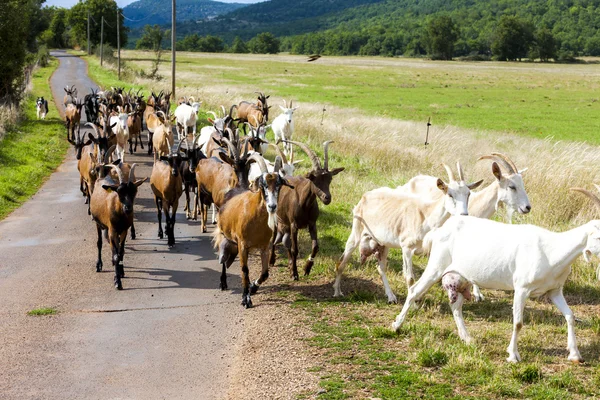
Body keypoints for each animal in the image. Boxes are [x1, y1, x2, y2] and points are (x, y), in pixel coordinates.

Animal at [213, 155, 292, 308]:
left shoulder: (264, 246)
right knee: (223, 258)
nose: (272, 206)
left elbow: (265, 273)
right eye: (263, 185)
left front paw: (253, 287)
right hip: (225, 235)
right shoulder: (242, 245)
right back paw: (223, 282)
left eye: (279, 185)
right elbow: (244, 270)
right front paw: (246, 299)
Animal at [270, 141, 344, 282]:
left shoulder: (312, 224)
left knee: (285, 241)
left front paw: (306, 268)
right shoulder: (294, 225)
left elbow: (315, 247)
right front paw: (294, 273)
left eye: (330, 179)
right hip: (277, 219)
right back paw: (271, 260)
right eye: (314, 179)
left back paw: (288, 264)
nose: (327, 198)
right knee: (274, 238)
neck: (304, 203)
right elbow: (295, 249)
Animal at [332, 161, 482, 302]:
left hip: (383, 244)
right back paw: (337, 292)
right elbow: (409, 277)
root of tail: (365, 196)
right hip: (357, 230)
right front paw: (413, 302)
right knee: (341, 262)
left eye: (468, 194)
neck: (427, 215)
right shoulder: (407, 247)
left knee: (381, 268)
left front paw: (419, 298)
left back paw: (391, 297)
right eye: (450, 194)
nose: (464, 215)